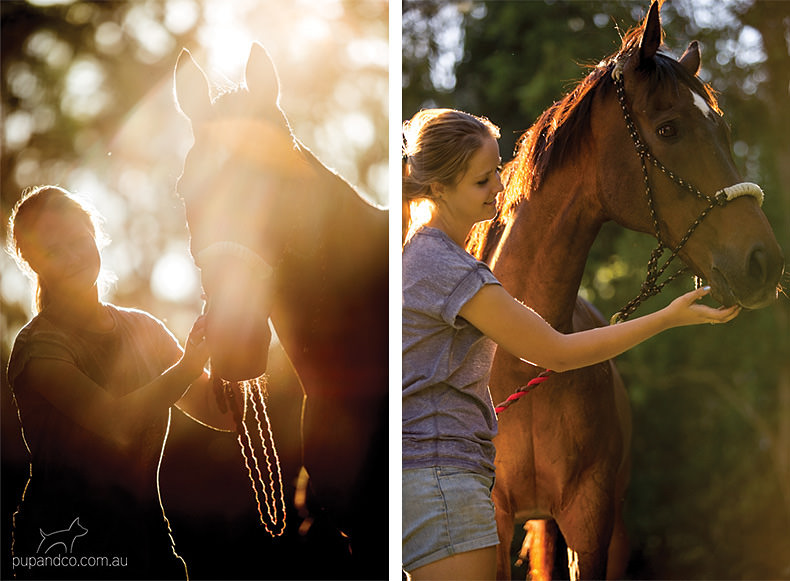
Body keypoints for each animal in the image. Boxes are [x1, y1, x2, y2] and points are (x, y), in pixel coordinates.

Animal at [470, 2, 784, 576]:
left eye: (724, 130)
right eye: (668, 128)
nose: (763, 263)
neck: (523, 361)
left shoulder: (591, 526)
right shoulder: (490, 524)